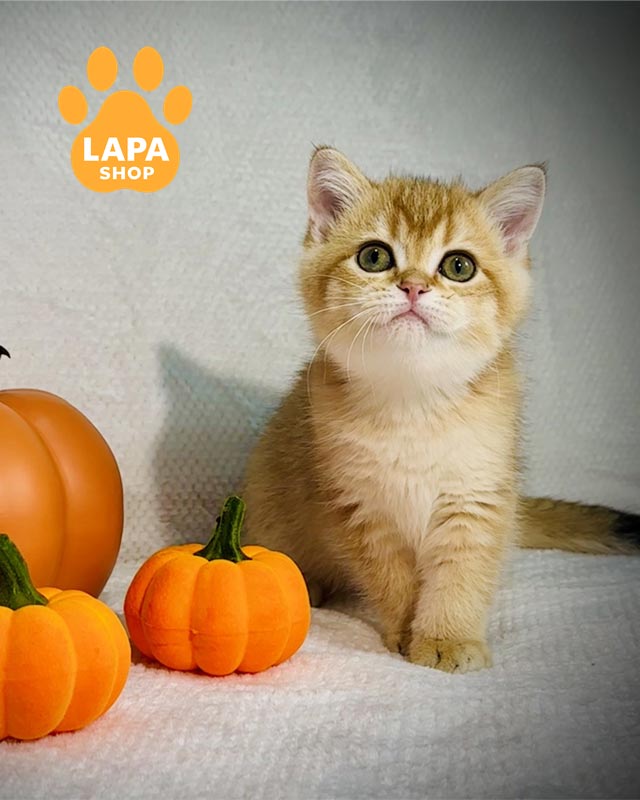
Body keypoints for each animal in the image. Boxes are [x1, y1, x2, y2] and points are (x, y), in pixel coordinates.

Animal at [242, 147, 639, 673]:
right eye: (374, 257)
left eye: (458, 266)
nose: (413, 287)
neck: (416, 404)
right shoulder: (361, 506)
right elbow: (393, 580)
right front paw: (406, 632)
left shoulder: (477, 496)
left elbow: (460, 576)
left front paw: (448, 637)